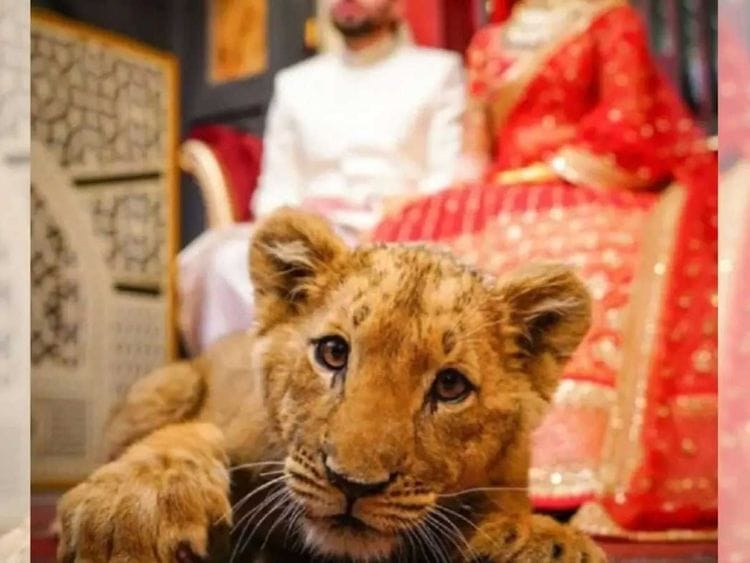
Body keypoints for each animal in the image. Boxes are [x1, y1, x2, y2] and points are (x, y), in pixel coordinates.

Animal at [56, 208, 605, 562]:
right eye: (333, 353)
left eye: (450, 386)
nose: (352, 485)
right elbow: (185, 440)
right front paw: (129, 512)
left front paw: (541, 542)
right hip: (169, 383)